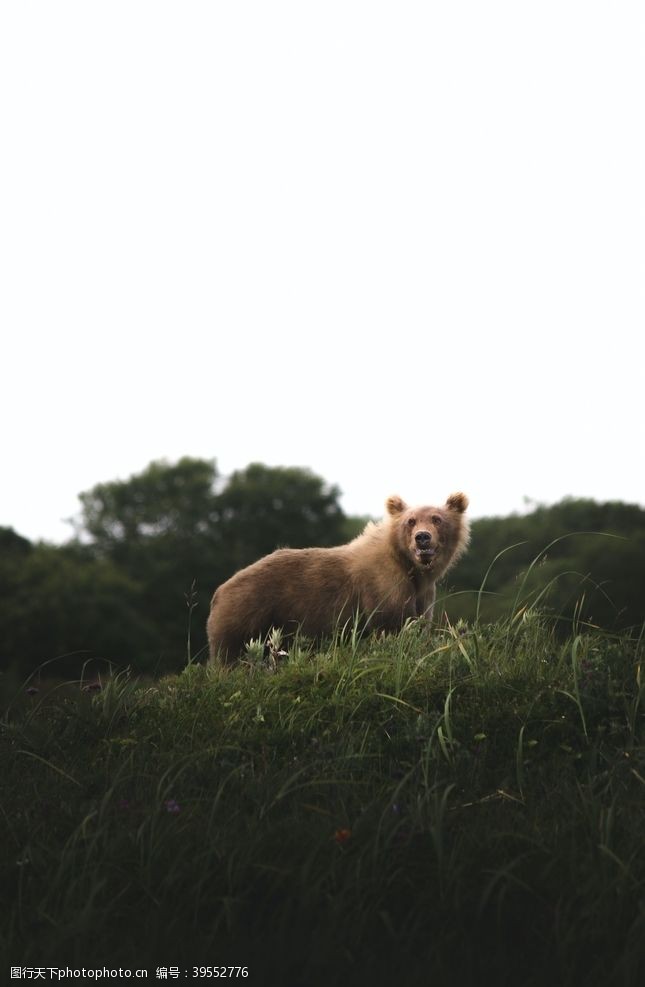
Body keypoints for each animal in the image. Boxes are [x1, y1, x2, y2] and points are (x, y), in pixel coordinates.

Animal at [206, 492, 468, 668]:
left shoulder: (423, 594)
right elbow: (392, 628)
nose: (422, 538)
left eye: (436, 519)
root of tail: (220, 590)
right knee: (230, 656)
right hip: (247, 615)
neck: (411, 567)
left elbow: (419, 625)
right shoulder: (385, 586)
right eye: (410, 521)